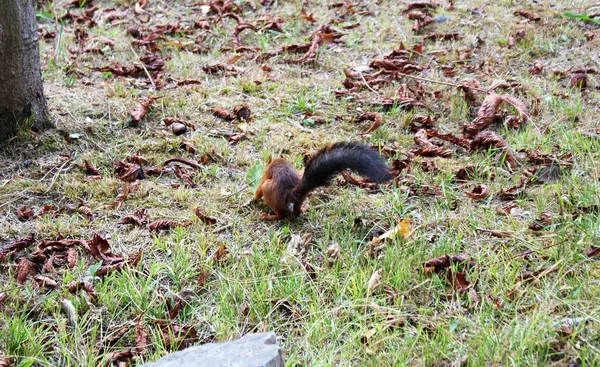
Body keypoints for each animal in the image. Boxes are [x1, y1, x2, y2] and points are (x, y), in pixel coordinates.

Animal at [250, 142, 394, 220]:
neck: (274, 162)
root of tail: (291, 192)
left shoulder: (265, 177)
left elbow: (258, 190)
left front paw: (252, 199)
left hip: (269, 189)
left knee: (282, 214)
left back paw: (269, 217)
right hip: (300, 194)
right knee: (296, 209)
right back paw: (302, 209)